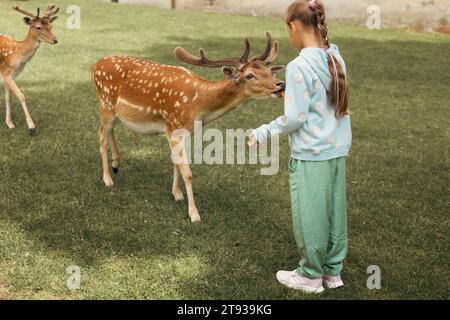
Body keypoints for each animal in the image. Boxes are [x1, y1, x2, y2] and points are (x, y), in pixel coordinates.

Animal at [0, 5, 59, 135]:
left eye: (51, 26)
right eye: (38, 27)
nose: (55, 40)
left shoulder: (12, 75)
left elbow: (9, 98)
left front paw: (10, 123)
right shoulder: (6, 73)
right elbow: (21, 95)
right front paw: (31, 127)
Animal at [92, 32, 284, 222]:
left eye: (269, 71)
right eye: (250, 75)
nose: (281, 84)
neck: (199, 106)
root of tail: (94, 66)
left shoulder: (183, 132)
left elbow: (176, 162)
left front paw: (176, 194)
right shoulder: (173, 126)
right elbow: (188, 173)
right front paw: (194, 213)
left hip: (115, 111)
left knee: (109, 131)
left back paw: (116, 164)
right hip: (105, 103)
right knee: (101, 135)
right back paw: (107, 179)